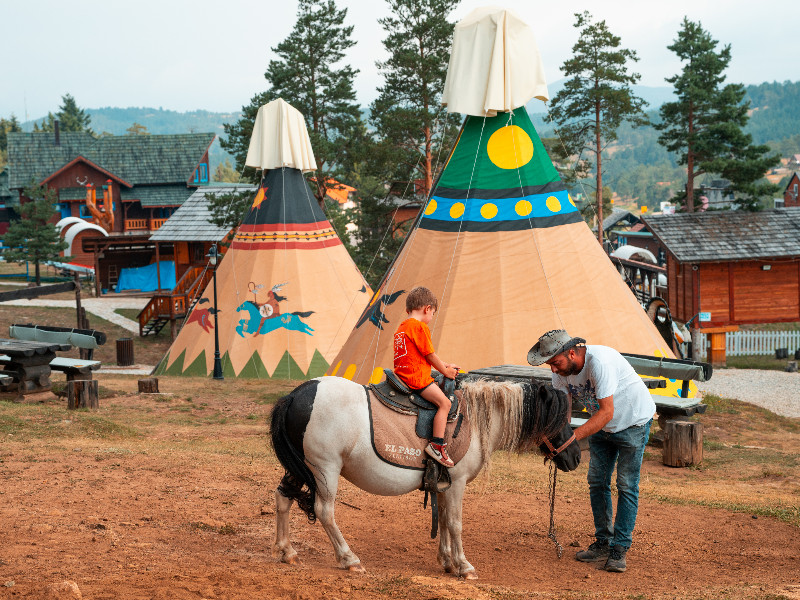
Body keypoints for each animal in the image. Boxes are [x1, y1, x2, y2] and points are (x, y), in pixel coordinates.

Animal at [270, 378, 580, 580]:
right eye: (558, 419)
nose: (576, 456)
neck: (475, 420)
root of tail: (296, 395)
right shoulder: (457, 483)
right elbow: (454, 523)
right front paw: (464, 565)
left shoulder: (442, 485)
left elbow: (442, 519)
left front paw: (447, 561)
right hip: (325, 469)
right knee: (325, 511)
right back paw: (349, 559)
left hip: (301, 468)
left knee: (283, 498)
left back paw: (287, 551)